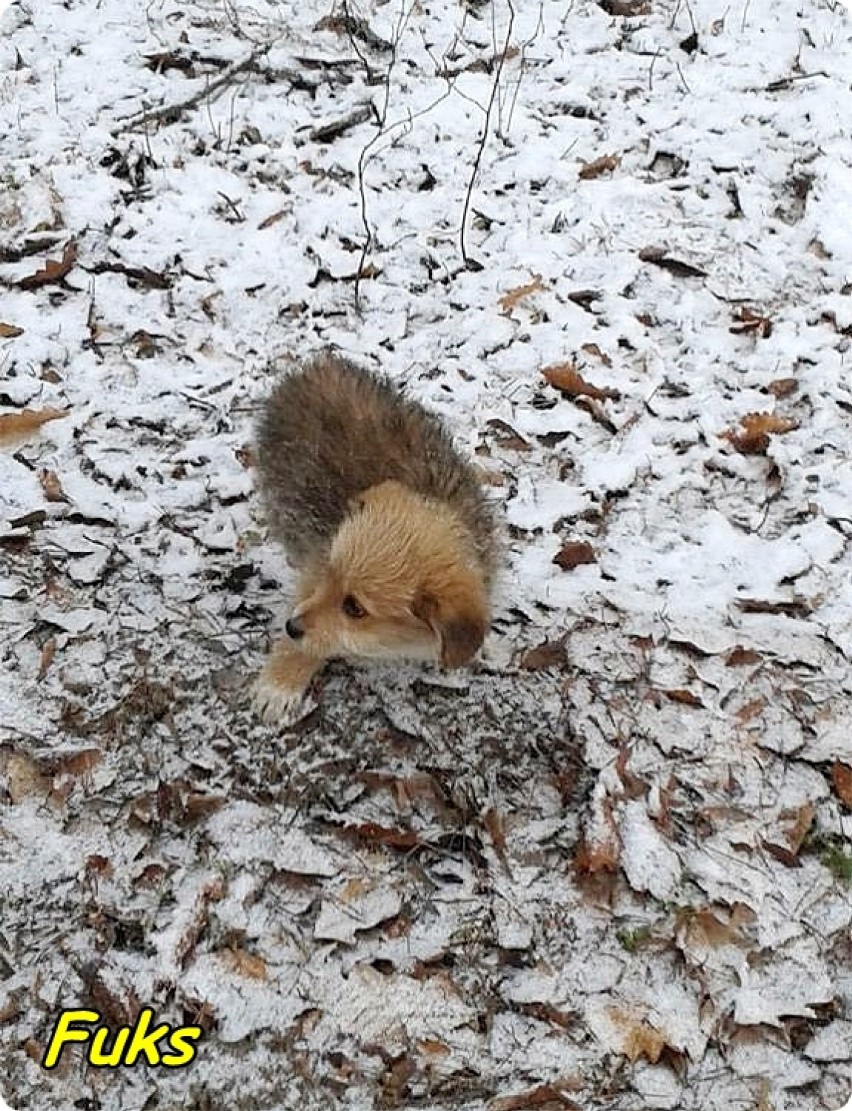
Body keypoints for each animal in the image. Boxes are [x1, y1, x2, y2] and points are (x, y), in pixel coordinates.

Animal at [249, 351, 497, 724]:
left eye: (354, 608)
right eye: (330, 573)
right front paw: (283, 679)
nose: (291, 626)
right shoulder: (316, 566)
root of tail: (318, 366)